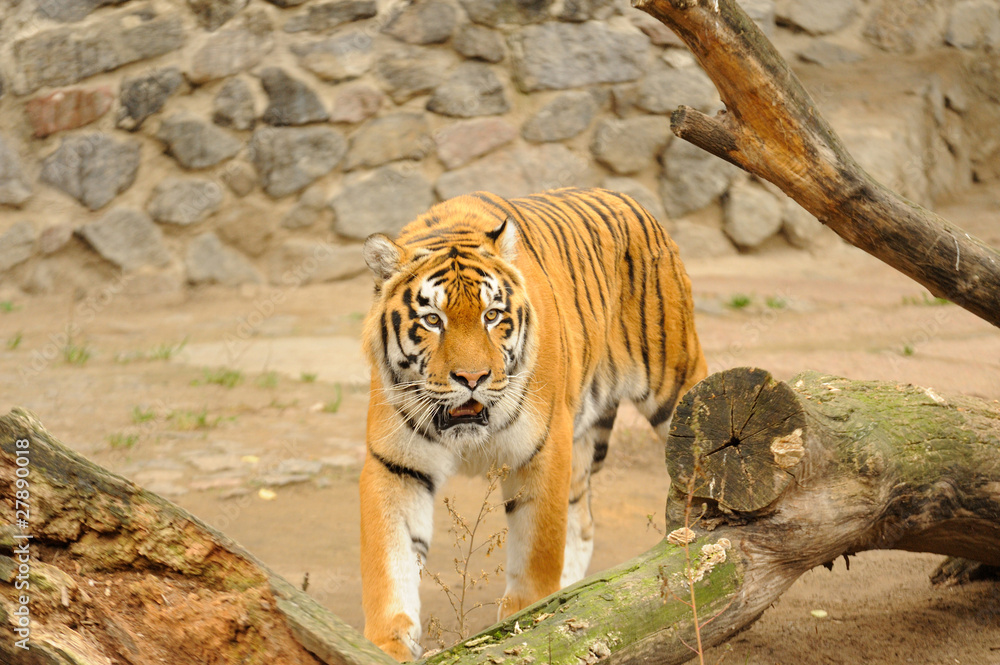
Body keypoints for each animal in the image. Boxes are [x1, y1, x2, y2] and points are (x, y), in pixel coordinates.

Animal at [359, 186, 707, 661]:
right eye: (433, 320)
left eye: (491, 316)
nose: (472, 378)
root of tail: (624, 195)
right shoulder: (395, 463)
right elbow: (389, 558)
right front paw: (387, 643)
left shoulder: (543, 449)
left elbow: (538, 550)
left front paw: (528, 622)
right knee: (583, 522)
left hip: (677, 385)